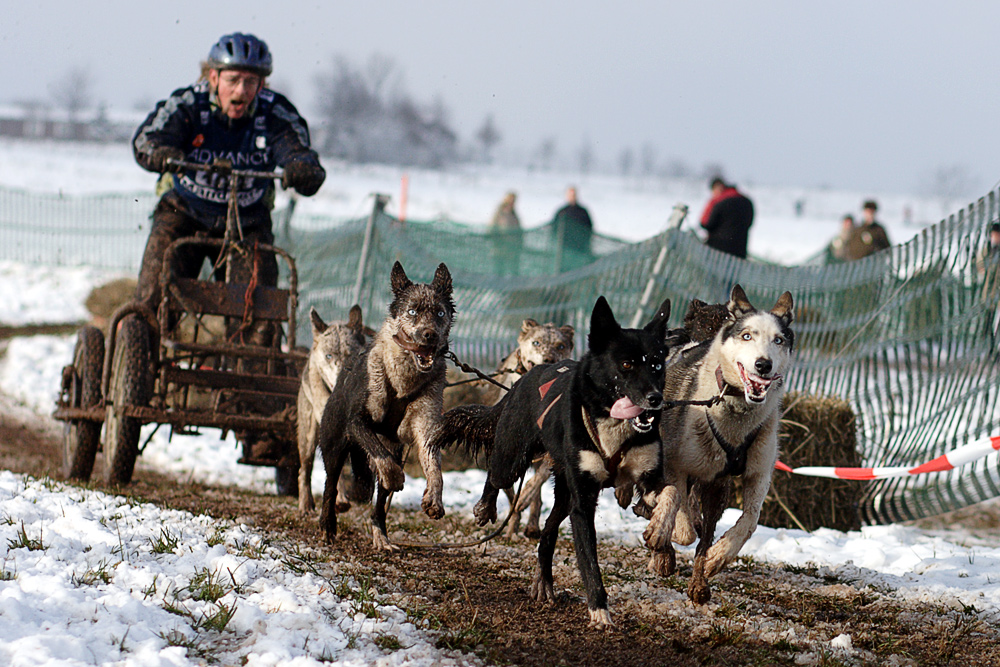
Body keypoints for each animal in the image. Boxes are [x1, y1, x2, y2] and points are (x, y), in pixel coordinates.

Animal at [318, 264, 456, 552]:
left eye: (440, 312)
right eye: (412, 311)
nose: (430, 335)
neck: (404, 380)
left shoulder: (425, 428)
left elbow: (434, 468)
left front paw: (434, 496)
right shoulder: (357, 422)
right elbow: (387, 464)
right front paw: (396, 478)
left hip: (392, 448)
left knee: (380, 505)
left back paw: (381, 535)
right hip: (334, 448)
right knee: (331, 486)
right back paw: (327, 525)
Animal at [640, 284, 796, 608]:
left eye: (778, 339)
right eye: (747, 335)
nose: (763, 365)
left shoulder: (753, 475)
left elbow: (748, 522)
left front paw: (716, 559)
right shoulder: (675, 466)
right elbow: (682, 524)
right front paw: (665, 536)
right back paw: (661, 547)